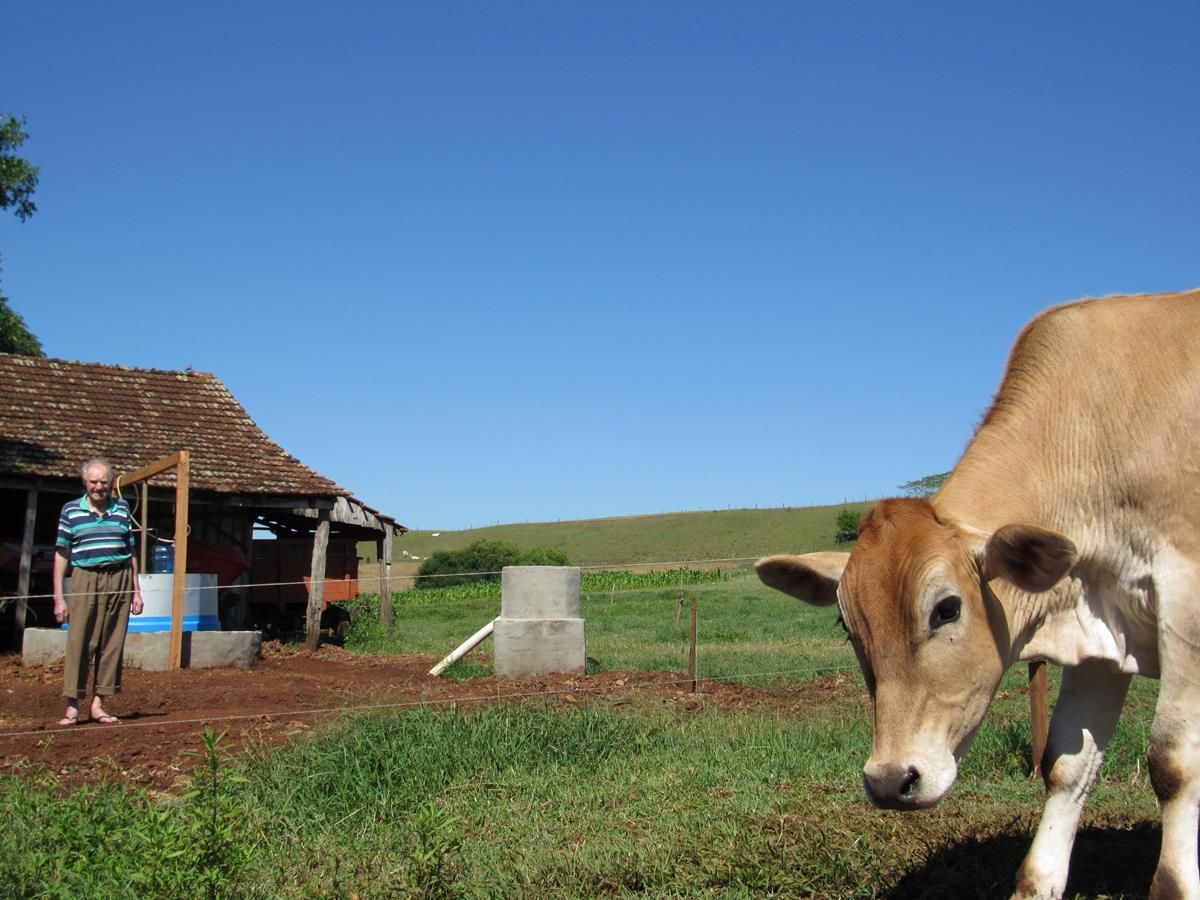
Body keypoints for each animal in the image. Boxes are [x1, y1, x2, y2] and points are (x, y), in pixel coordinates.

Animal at [758, 292, 1200, 897]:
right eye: (848, 626)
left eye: (947, 608)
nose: (891, 780)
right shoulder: (1101, 630)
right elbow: (1067, 764)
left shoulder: (1186, 600)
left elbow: (1173, 762)